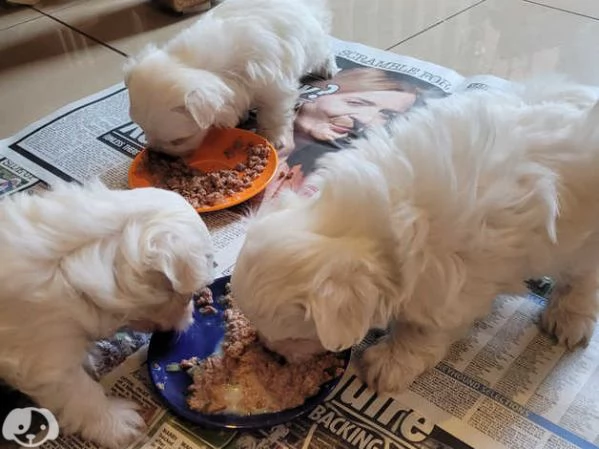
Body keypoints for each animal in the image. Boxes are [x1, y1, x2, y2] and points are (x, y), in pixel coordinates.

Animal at [124, 0, 340, 156]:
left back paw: (327, 68)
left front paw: (273, 138)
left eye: (178, 141)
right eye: (144, 131)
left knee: (325, 50)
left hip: (313, 43)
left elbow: (273, 114)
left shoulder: (274, 86)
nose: (157, 153)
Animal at [232, 79, 599, 394]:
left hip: (585, 238)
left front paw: (389, 364)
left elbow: (422, 329)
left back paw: (567, 319)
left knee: (582, 280)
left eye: (293, 337)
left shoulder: (451, 282)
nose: (272, 353)